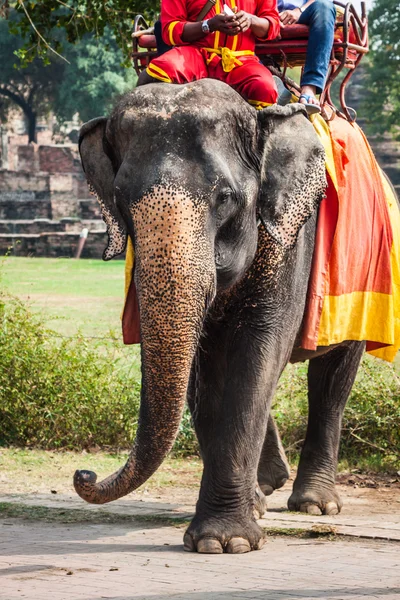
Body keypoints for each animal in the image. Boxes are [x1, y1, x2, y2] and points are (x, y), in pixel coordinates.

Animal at [73, 78, 368, 552]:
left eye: (225, 197)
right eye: (119, 200)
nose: (84, 474)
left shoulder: (289, 243)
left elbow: (257, 353)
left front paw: (227, 542)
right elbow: (204, 375)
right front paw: (225, 532)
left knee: (333, 376)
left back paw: (315, 505)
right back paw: (265, 492)